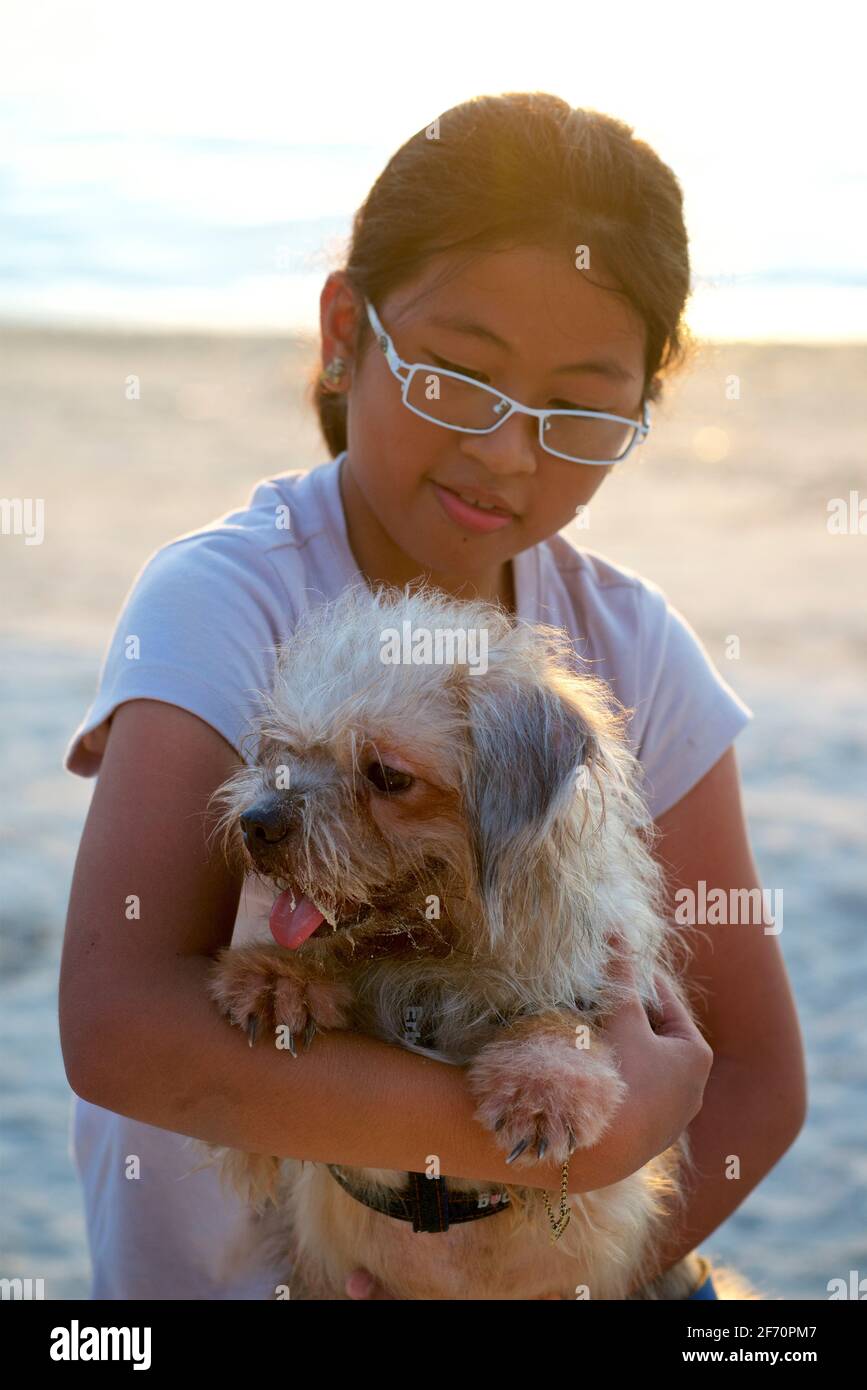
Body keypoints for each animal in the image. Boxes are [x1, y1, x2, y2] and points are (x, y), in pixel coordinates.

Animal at [200, 581, 755, 1295]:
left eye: (386, 776)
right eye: (284, 753)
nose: (257, 823)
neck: (432, 962)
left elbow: (561, 1018)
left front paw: (542, 1084)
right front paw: (280, 979)